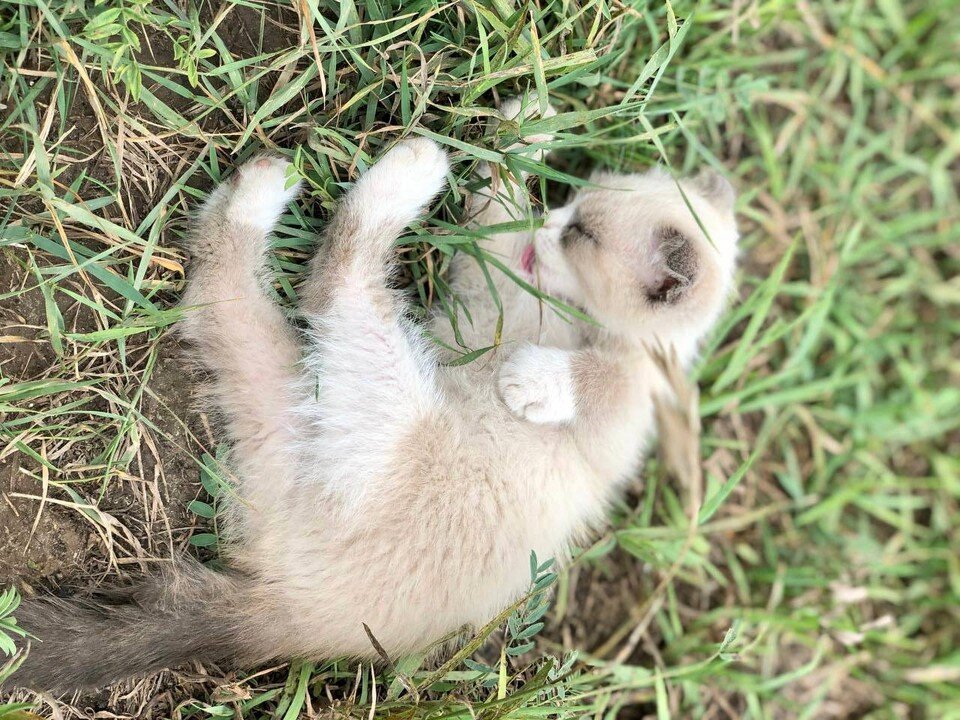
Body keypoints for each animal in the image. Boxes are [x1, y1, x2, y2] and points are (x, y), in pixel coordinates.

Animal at [7, 95, 740, 692]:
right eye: (573, 211)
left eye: (580, 234)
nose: (550, 222)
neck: (559, 304)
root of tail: (292, 605)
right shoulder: (489, 277)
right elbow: (495, 208)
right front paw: (524, 127)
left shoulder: (630, 407)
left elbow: (605, 383)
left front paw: (530, 380)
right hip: (285, 405)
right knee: (227, 291)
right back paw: (266, 188)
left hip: (376, 396)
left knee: (334, 278)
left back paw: (404, 171)